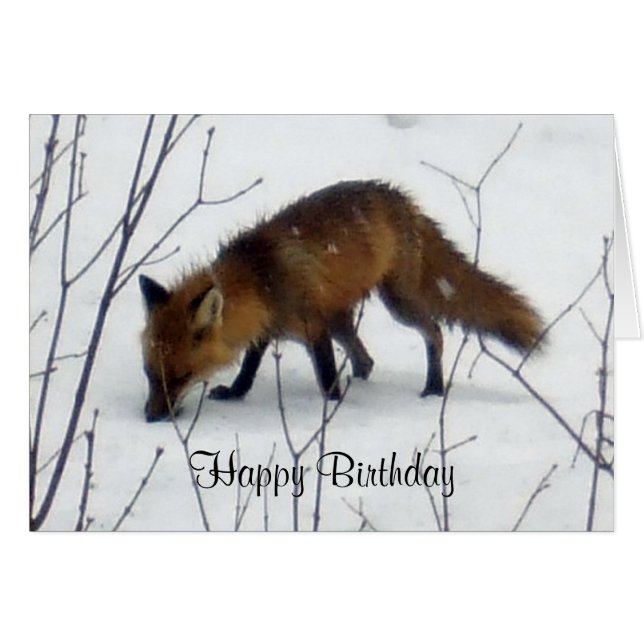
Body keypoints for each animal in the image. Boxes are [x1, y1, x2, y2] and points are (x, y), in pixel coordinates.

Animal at [139, 180, 544, 422]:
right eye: (150, 374)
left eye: (181, 376)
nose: (151, 416)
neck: (261, 279)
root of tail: (402, 198)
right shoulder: (269, 327)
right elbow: (249, 367)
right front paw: (236, 393)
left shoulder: (313, 326)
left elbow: (325, 373)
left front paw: (332, 405)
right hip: (342, 318)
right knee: (366, 359)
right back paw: (365, 379)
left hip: (397, 304)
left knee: (434, 332)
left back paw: (433, 387)